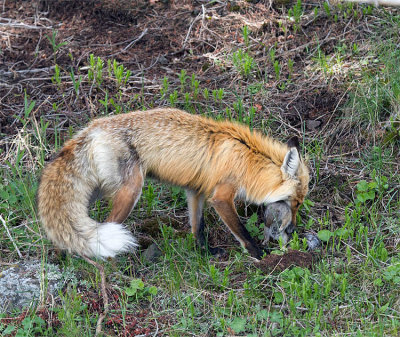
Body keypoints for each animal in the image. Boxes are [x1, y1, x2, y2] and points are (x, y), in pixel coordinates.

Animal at [36, 107, 310, 258]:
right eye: (296, 202)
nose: (293, 230)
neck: (248, 158)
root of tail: (90, 129)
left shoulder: (196, 190)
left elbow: (197, 227)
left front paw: (205, 253)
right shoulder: (221, 196)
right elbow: (241, 231)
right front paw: (259, 254)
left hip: (93, 194)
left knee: (68, 230)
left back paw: (66, 256)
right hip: (130, 191)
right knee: (105, 227)